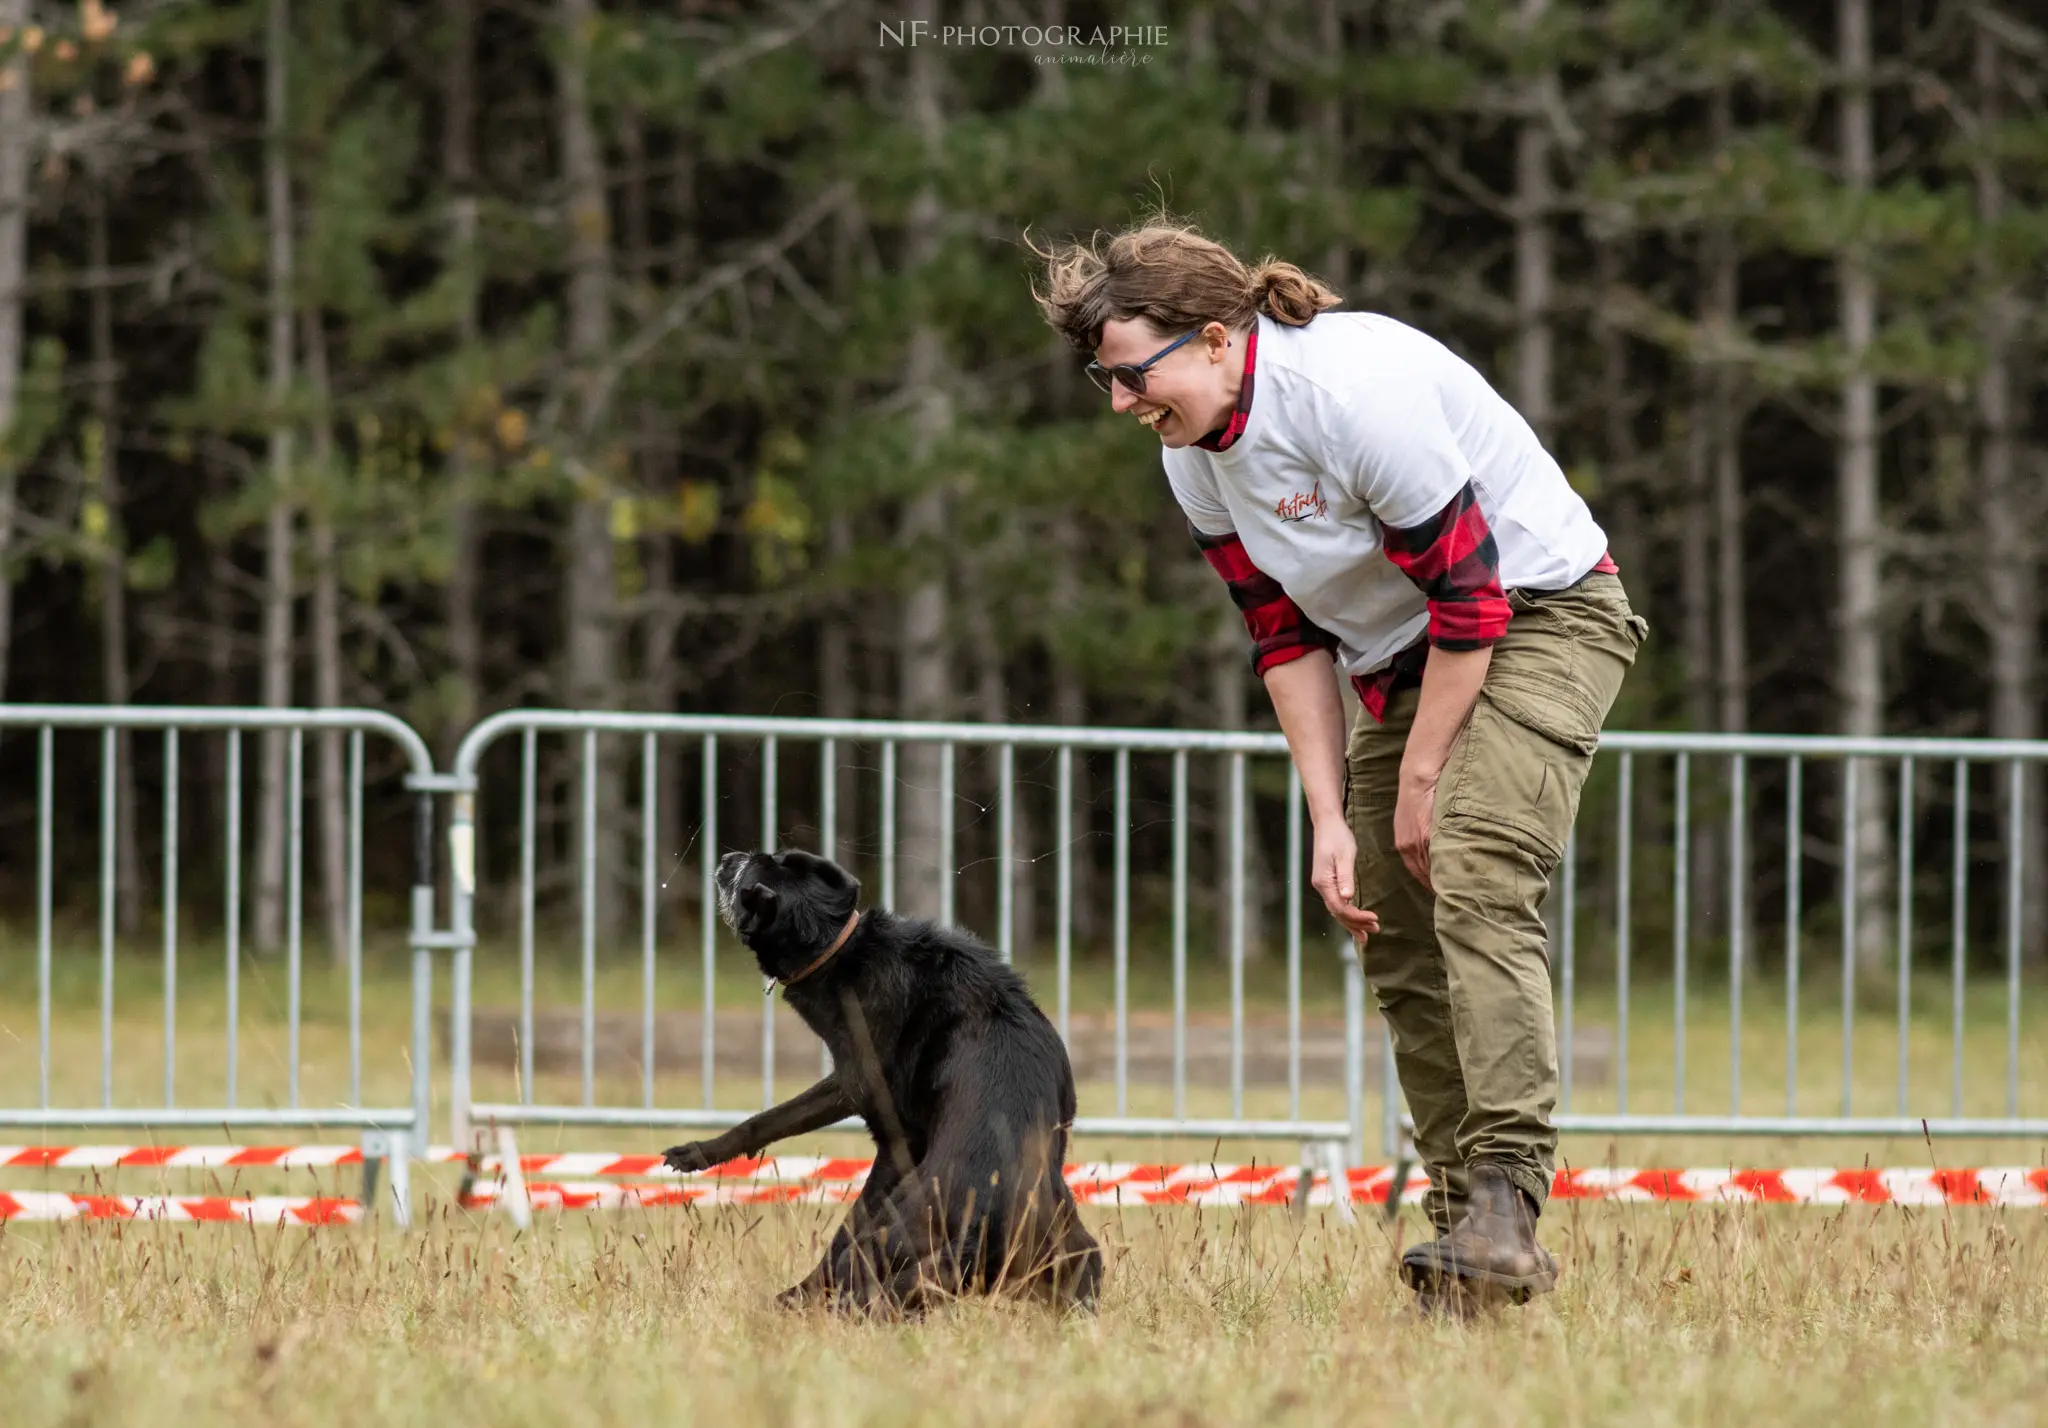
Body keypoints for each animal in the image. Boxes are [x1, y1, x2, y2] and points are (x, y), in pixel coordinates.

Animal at [659, 848, 1105, 1311]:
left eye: (749, 872)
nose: (728, 857)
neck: (838, 949)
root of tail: (983, 1223)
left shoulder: (879, 1116)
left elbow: (783, 1132)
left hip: (897, 1226)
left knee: (852, 1258)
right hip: (1074, 1241)